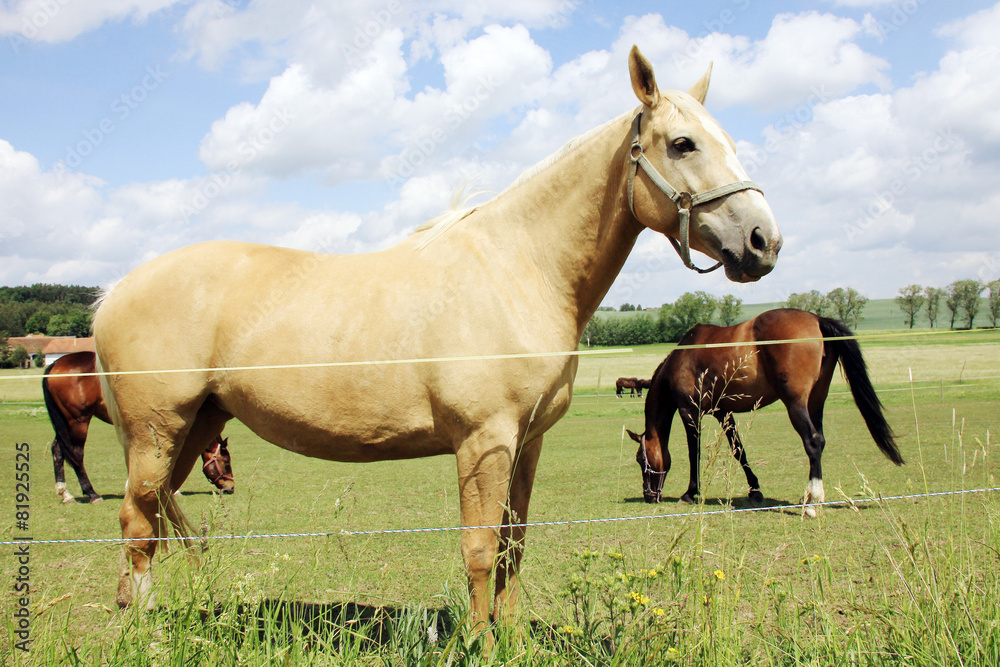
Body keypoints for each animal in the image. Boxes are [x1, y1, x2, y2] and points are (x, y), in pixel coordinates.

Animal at [42, 351, 235, 503]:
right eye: (226, 461)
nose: (231, 487)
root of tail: (55, 364)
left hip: (65, 423)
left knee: (58, 450)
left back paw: (65, 494)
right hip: (78, 421)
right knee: (76, 454)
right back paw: (92, 494)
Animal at [92, 46, 782, 625]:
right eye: (683, 143)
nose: (763, 241)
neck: (519, 268)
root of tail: (114, 293)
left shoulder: (525, 444)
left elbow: (512, 545)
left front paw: (509, 637)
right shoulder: (483, 442)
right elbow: (480, 548)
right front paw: (480, 641)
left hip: (195, 426)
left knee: (149, 516)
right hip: (157, 431)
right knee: (136, 521)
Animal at [626, 309, 903, 516]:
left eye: (640, 459)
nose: (649, 495)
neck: (684, 356)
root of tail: (816, 320)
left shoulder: (690, 412)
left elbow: (695, 452)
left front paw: (690, 492)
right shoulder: (724, 412)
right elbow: (739, 450)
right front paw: (755, 490)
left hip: (796, 403)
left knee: (813, 442)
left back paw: (812, 500)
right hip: (816, 401)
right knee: (821, 440)